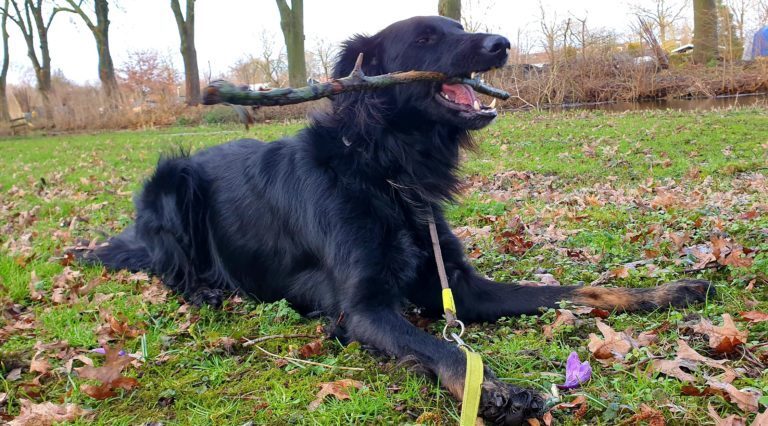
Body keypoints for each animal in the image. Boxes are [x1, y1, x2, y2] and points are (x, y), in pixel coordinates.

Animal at [88, 15, 712, 422]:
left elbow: (579, 290)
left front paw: (663, 292)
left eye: (459, 26)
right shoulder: (363, 309)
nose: (502, 44)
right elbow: (443, 347)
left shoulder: (460, 286)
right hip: (171, 180)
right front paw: (498, 391)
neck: (387, 172)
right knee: (172, 269)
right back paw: (208, 292)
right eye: (425, 38)